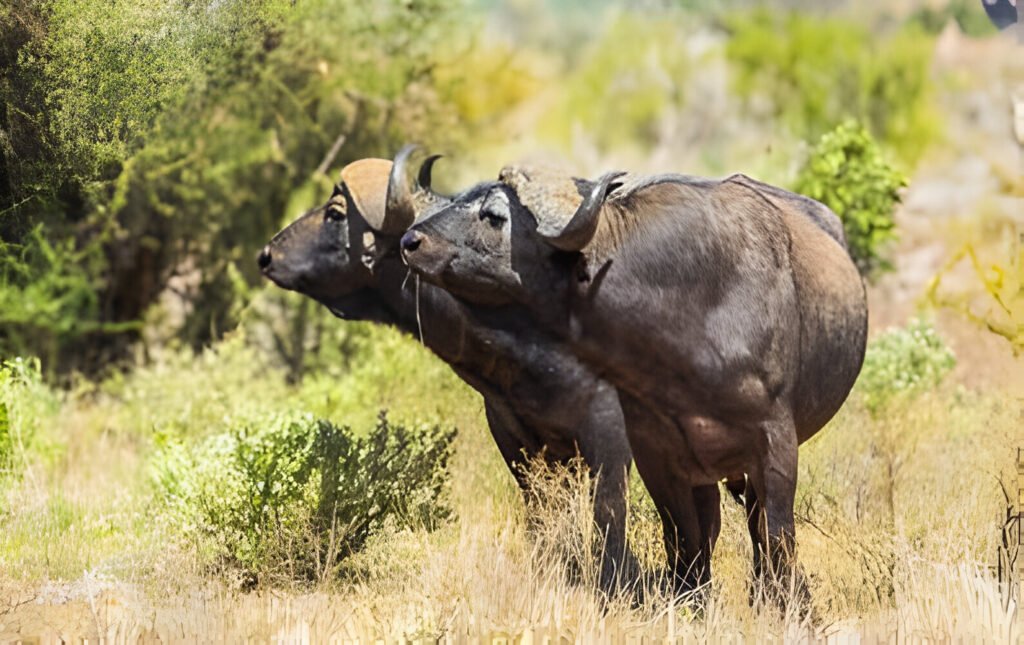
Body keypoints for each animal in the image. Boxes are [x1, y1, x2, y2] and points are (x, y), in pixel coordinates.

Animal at [258, 150, 638, 597]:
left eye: (335, 212)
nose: (266, 255)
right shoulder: (516, 437)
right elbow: (543, 515)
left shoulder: (610, 434)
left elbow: (609, 516)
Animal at [403, 165, 868, 602]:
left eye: (494, 216)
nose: (411, 240)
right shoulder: (657, 458)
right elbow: (685, 543)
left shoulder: (775, 443)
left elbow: (776, 536)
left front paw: (784, 606)